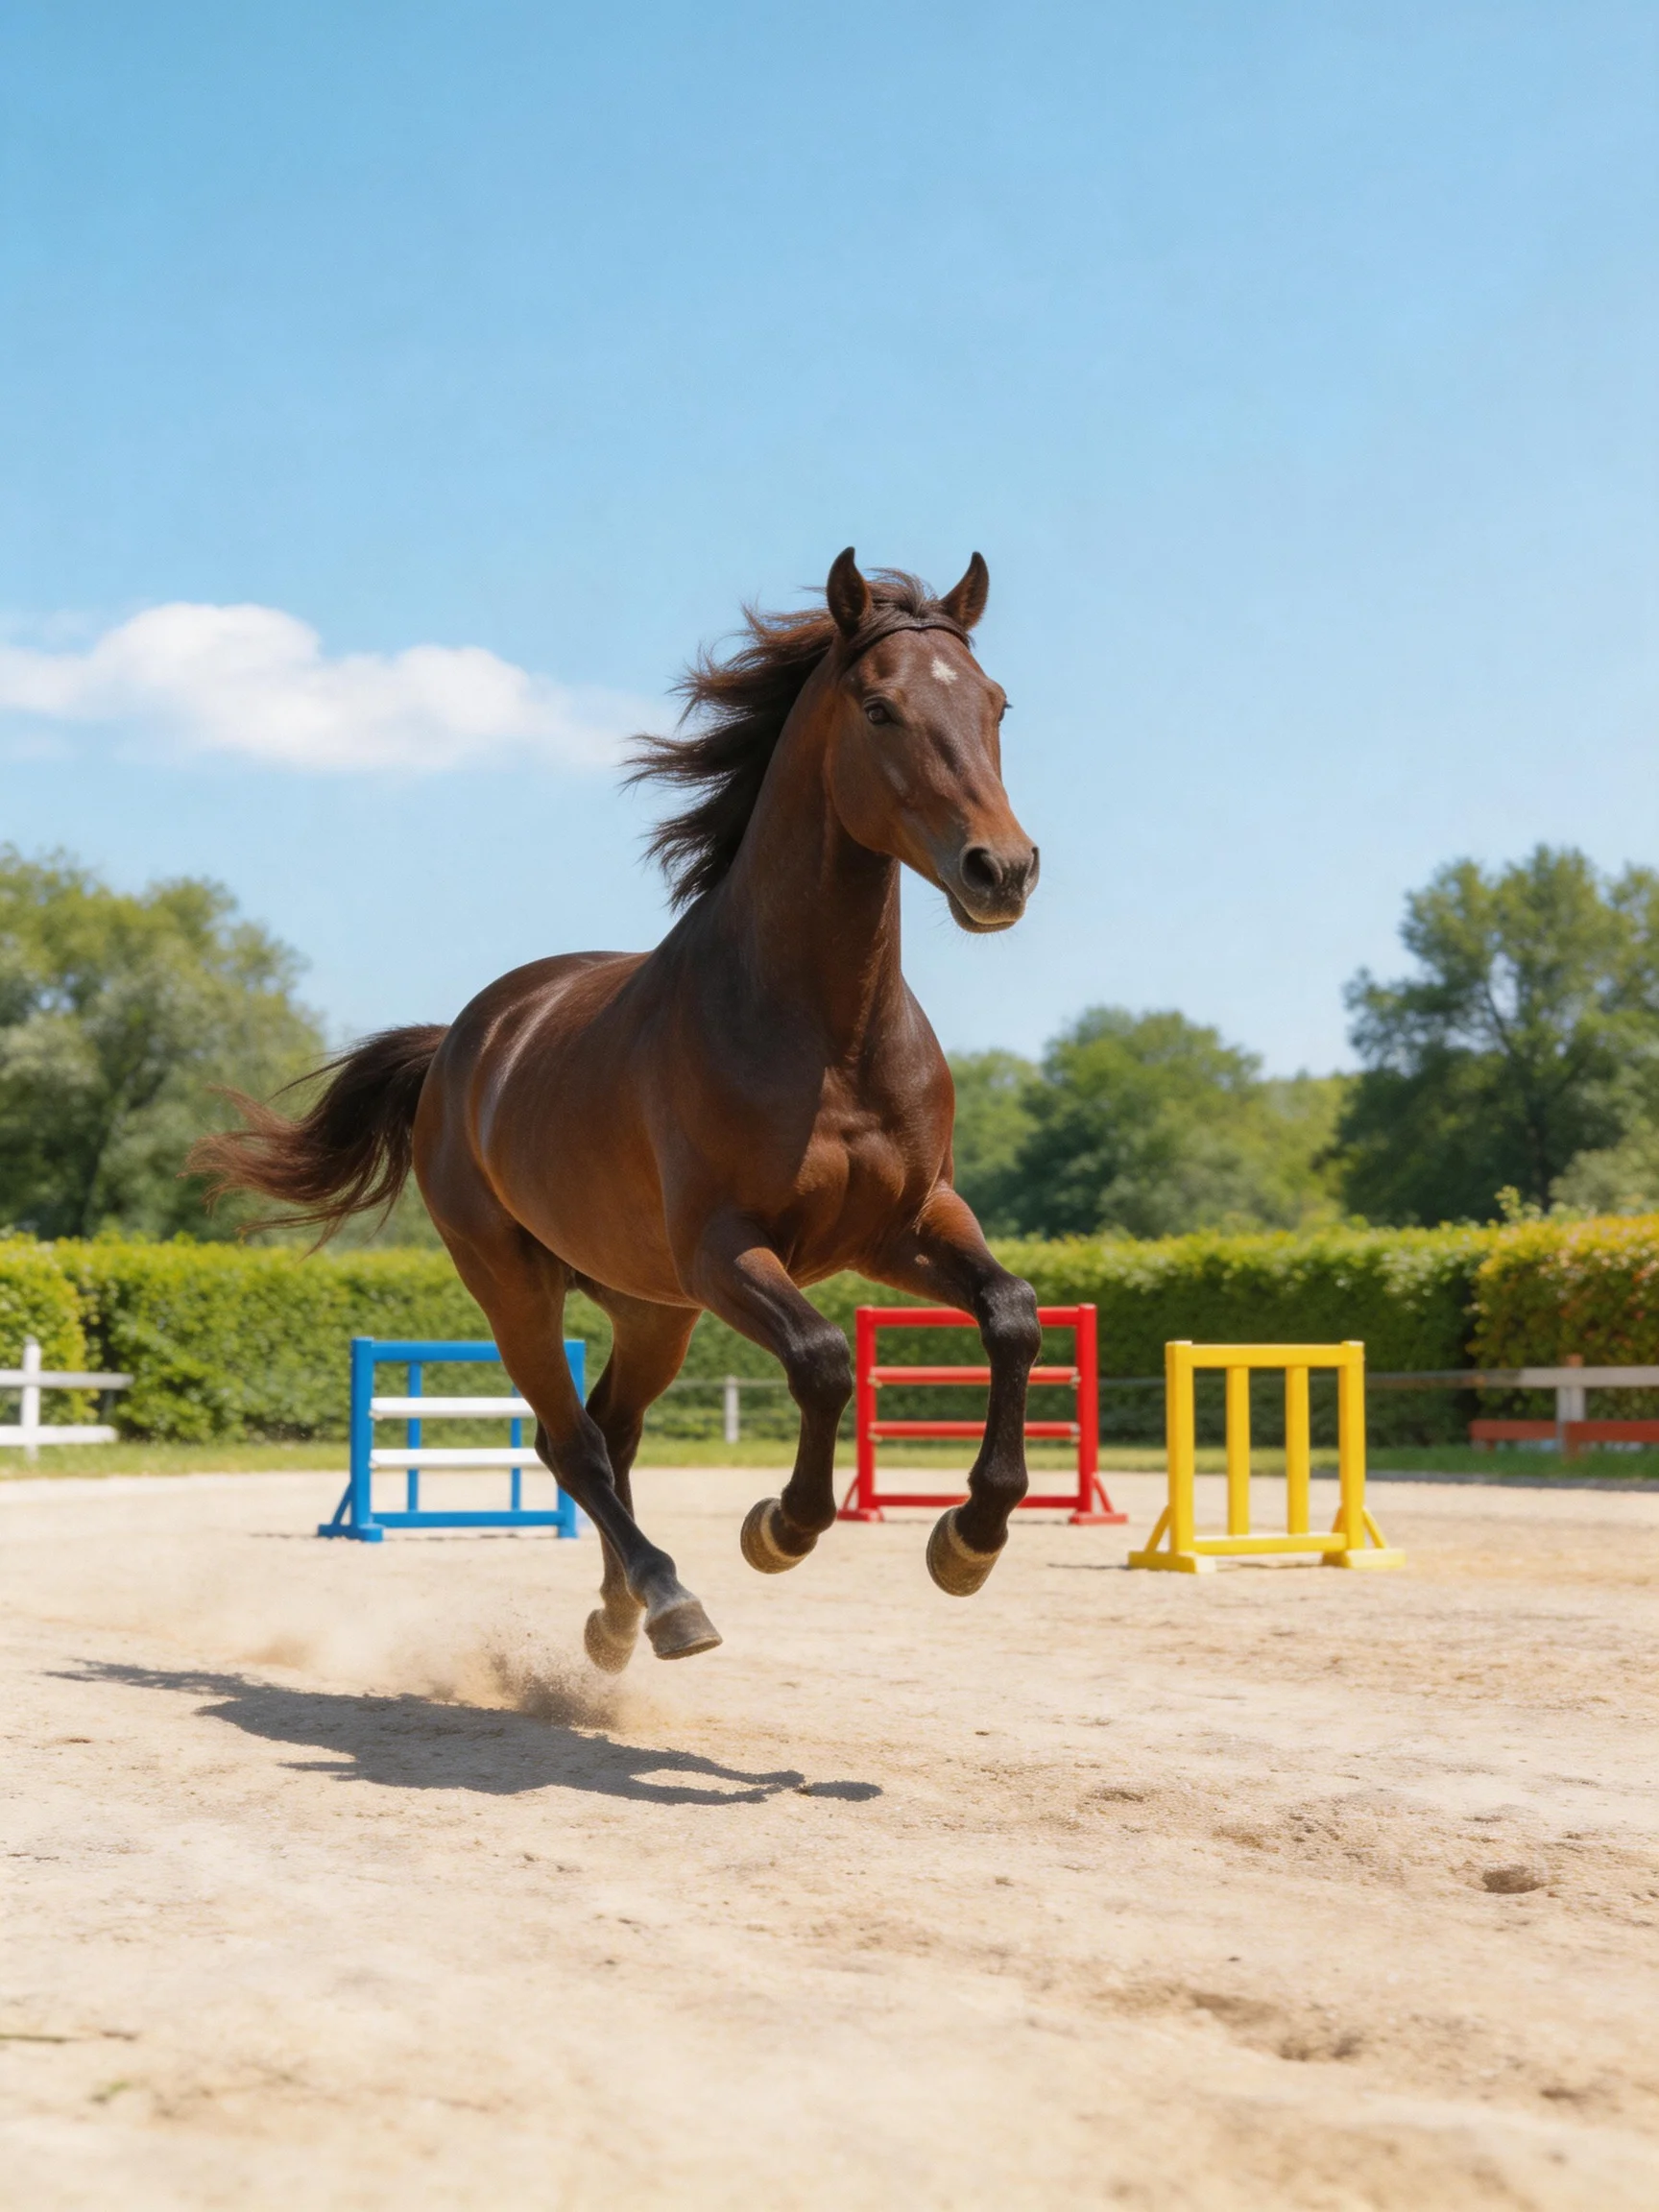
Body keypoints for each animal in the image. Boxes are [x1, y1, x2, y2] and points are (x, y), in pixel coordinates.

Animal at [192, 549, 1043, 1671]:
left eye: (996, 703)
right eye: (880, 708)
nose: (1003, 871)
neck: (829, 1032)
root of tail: (461, 1042)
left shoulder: (903, 1228)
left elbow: (1012, 1317)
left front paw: (970, 1538)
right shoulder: (726, 1250)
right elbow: (820, 1362)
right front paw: (780, 1528)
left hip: (650, 1308)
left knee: (612, 1429)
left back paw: (620, 1614)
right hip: (519, 1288)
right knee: (572, 1441)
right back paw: (669, 1599)